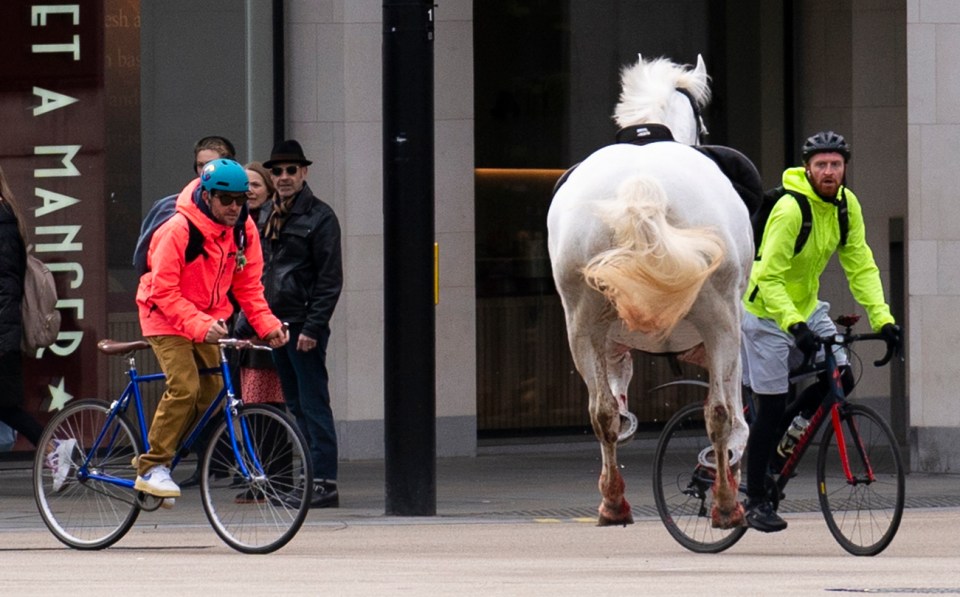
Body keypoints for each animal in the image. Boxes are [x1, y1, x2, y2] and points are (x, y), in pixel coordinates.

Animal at [548, 54, 752, 528]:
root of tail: (642, 185)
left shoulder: (610, 336)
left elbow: (613, 392)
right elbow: (734, 410)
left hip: (582, 322)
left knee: (601, 412)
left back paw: (613, 502)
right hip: (719, 319)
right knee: (719, 412)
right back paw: (726, 504)